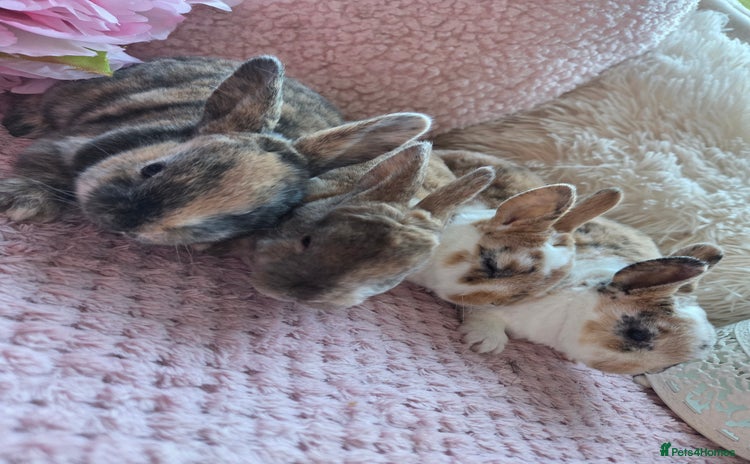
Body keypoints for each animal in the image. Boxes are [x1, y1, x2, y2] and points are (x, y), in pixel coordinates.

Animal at [0, 55, 431, 245]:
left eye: (234, 219)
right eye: (153, 169)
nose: (123, 222)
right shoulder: (63, 144)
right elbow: (40, 168)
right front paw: (22, 203)